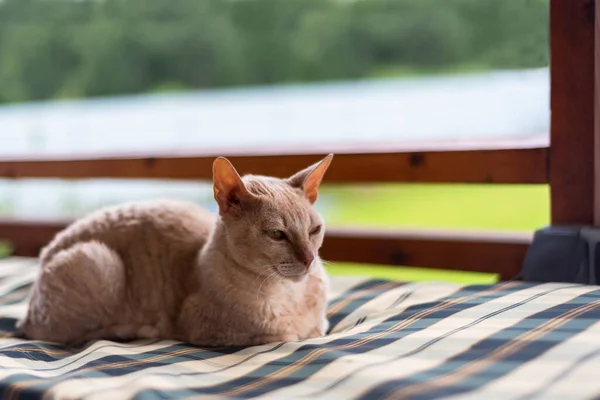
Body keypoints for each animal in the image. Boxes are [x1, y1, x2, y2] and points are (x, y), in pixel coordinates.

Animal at [16, 155, 332, 346]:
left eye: (314, 231)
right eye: (277, 234)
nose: (309, 259)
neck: (289, 295)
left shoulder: (321, 326)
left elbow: (317, 330)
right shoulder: (215, 331)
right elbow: (286, 337)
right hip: (99, 261)